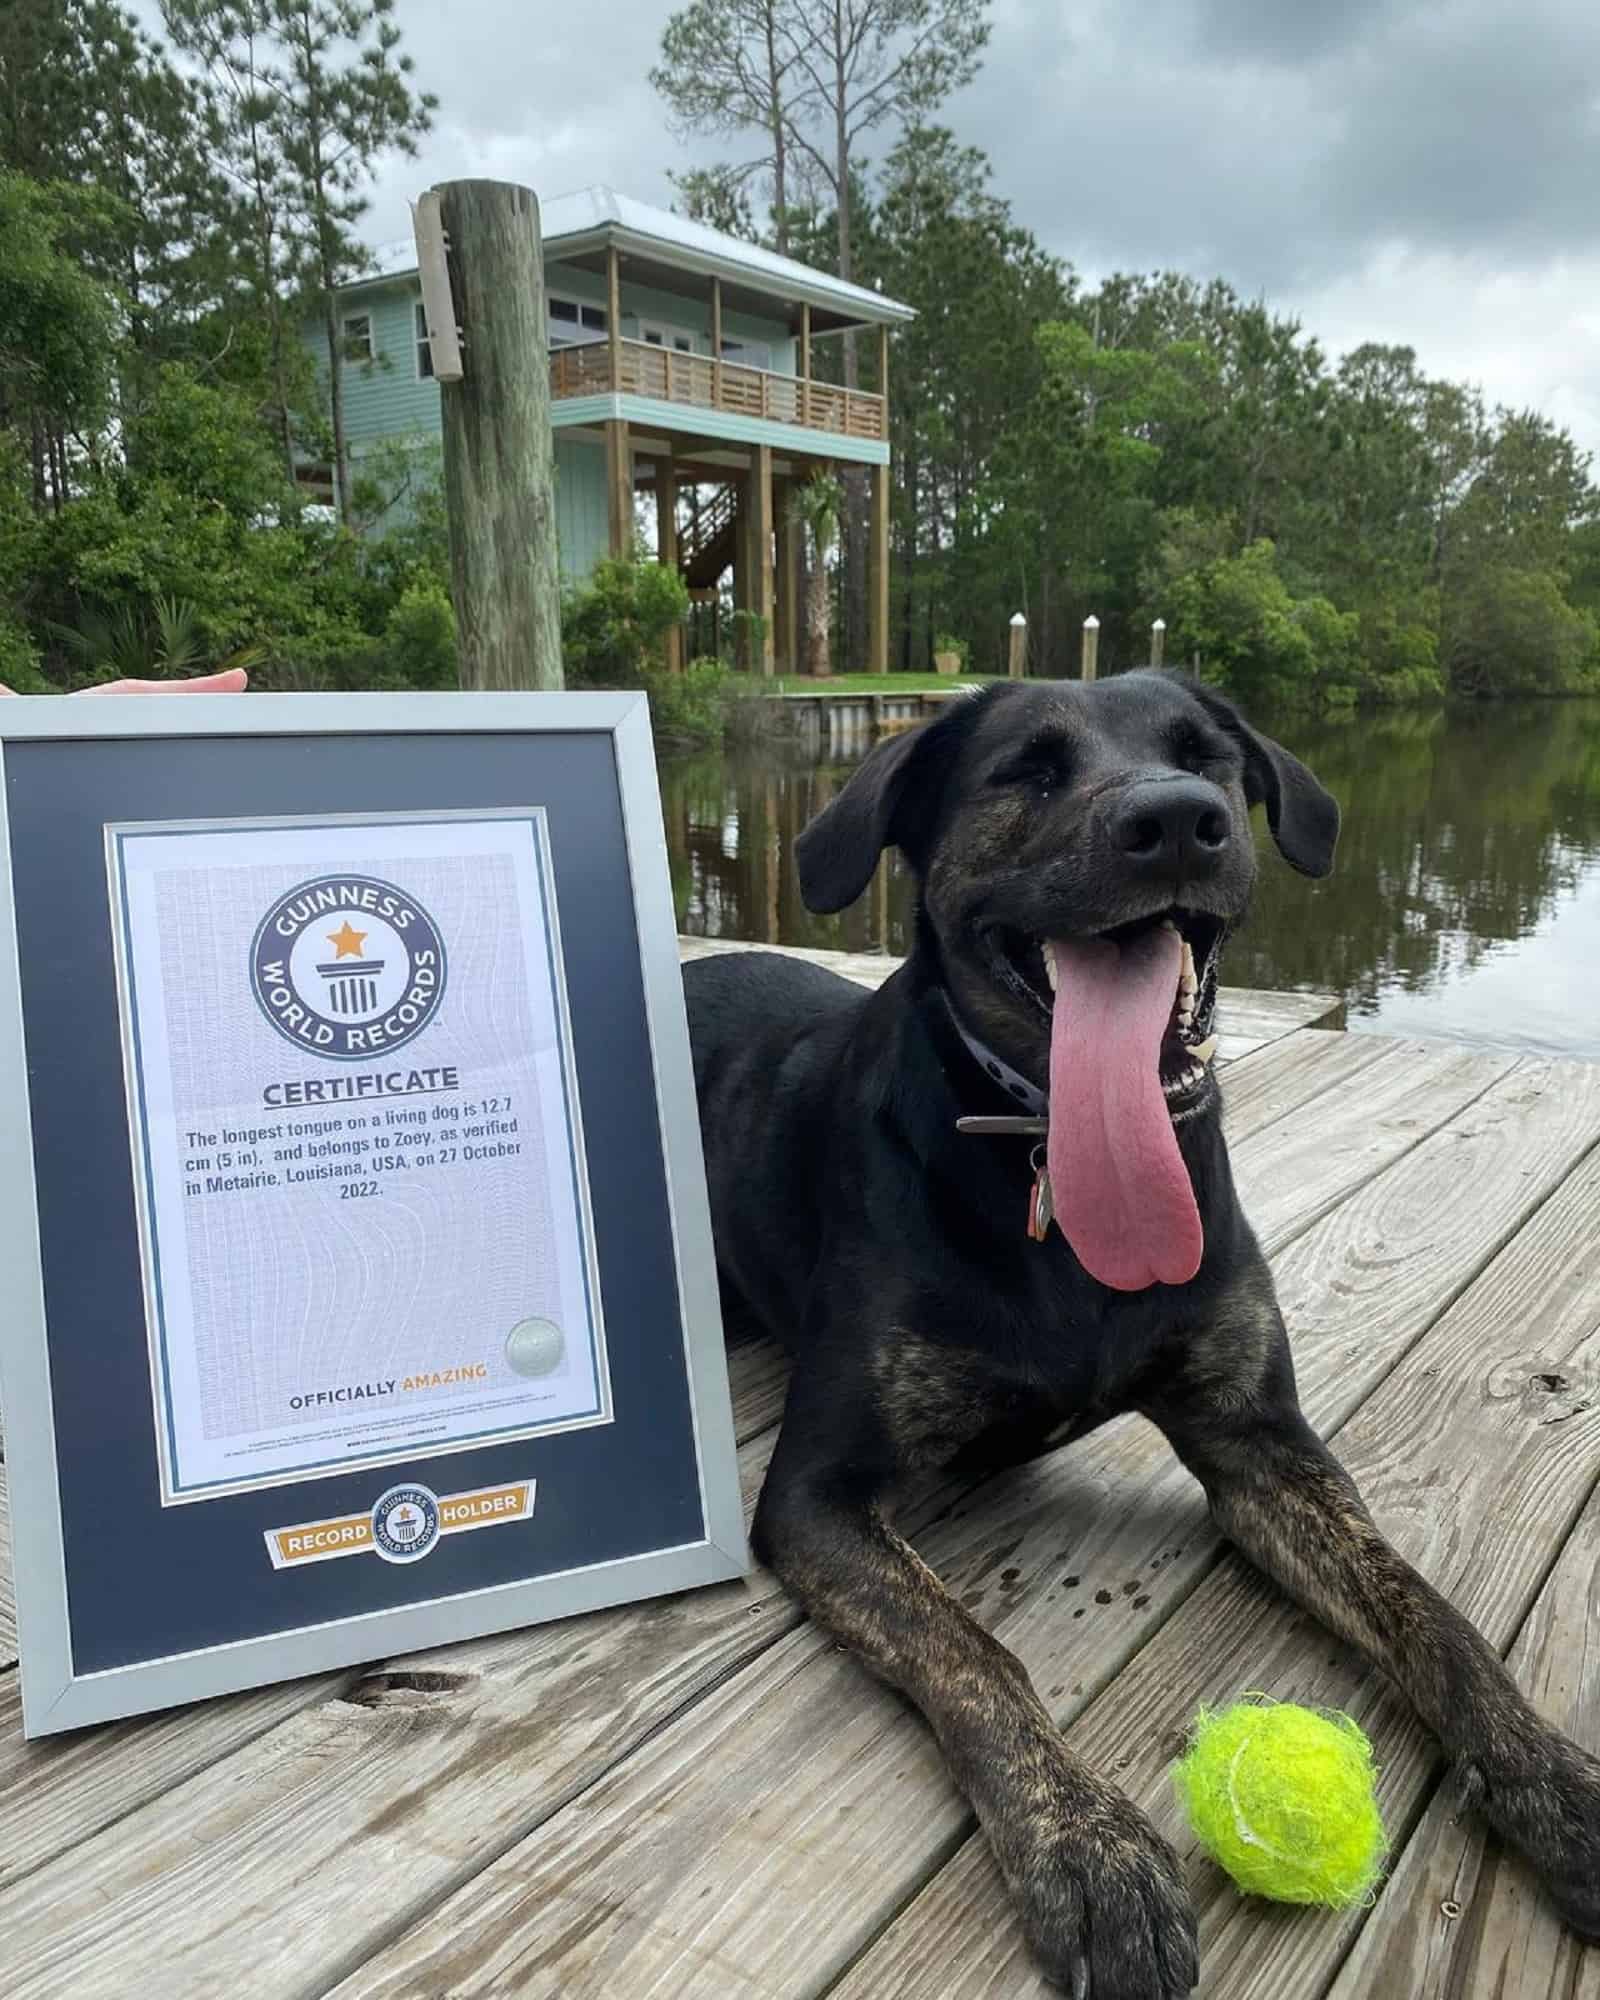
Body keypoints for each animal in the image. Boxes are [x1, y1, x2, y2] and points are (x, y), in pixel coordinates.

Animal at [688, 676, 1600, 2000]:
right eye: (1025, 769)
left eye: (1206, 757)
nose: (1174, 823)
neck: (1054, 1159)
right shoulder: (818, 1493)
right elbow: (974, 1652)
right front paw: (1090, 1848)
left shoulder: (1258, 1438)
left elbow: (1427, 1610)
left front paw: (1555, 1783)